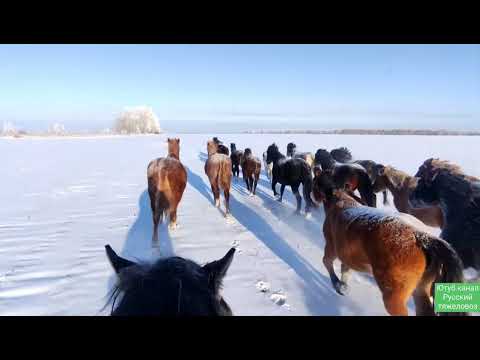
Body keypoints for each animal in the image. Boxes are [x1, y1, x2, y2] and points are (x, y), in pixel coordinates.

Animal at [312, 168, 464, 316]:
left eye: (314, 182)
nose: (312, 197)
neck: (341, 199)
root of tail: (423, 237)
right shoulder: (347, 254)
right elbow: (345, 269)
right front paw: (342, 286)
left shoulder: (332, 246)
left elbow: (326, 261)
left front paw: (337, 284)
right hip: (421, 289)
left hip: (394, 297)